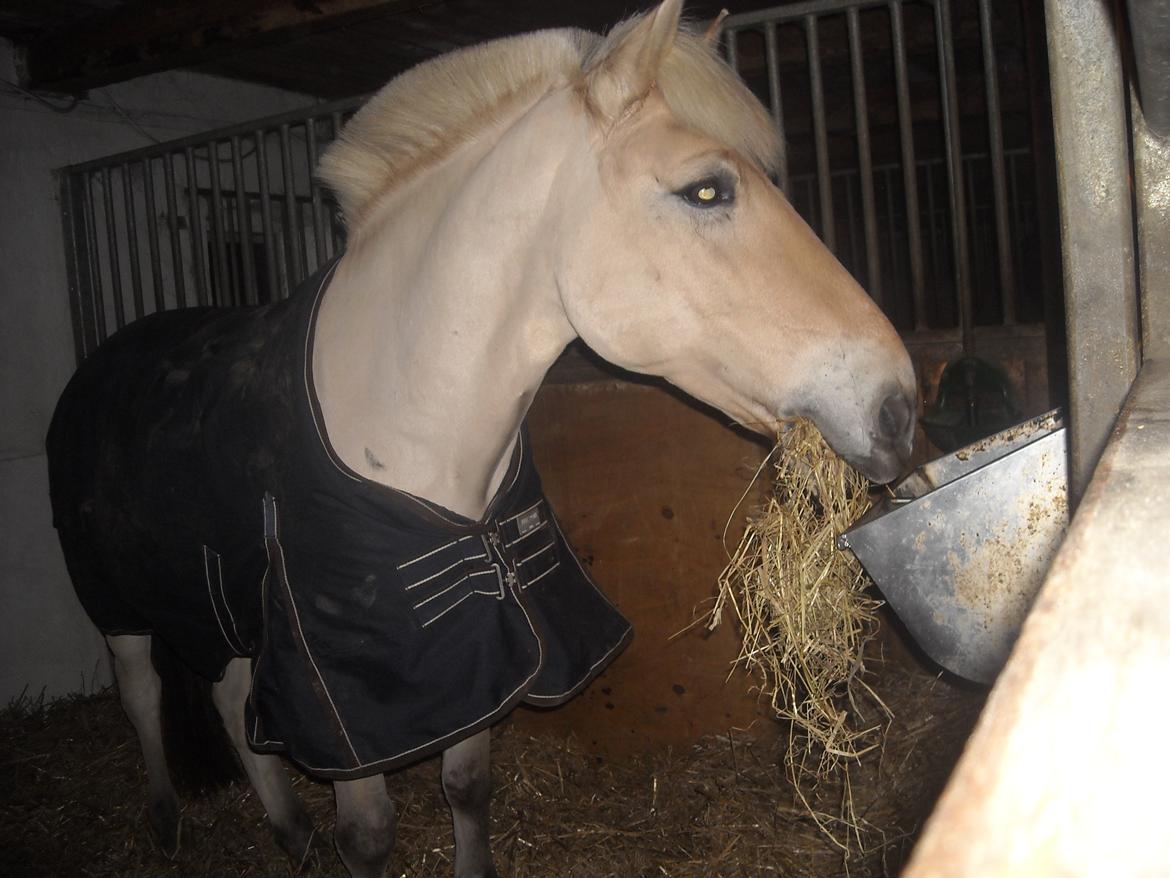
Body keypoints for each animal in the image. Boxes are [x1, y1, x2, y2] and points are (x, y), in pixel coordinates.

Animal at [45, 2, 916, 875]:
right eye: (707, 188)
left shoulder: (474, 649)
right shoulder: (350, 698)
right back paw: (165, 821)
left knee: (229, 698)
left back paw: (289, 832)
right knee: (143, 693)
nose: (899, 408)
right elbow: (368, 835)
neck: (404, 419)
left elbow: (466, 787)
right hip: (115, 602)